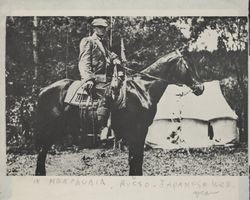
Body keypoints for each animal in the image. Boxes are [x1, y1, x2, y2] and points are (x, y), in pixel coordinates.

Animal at [34, 49, 203, 175]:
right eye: (189, 65)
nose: (201, 88)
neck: (143, 90)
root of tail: (43, 90)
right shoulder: (137, 130)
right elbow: (136, 159)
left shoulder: (139, 131)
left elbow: (135, 159)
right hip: (50, 129)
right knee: (42, 152)